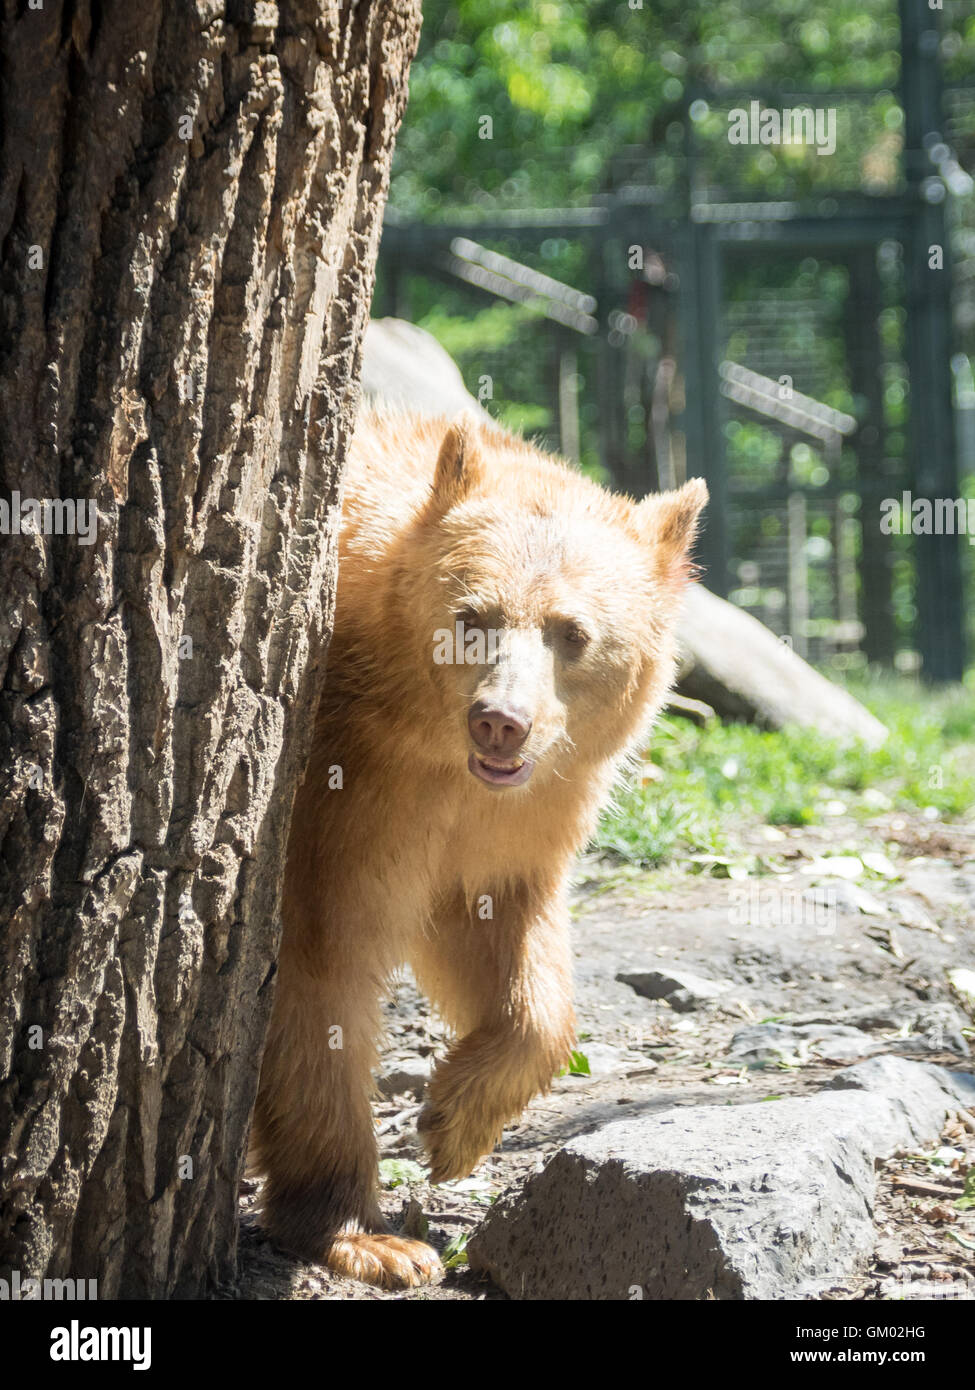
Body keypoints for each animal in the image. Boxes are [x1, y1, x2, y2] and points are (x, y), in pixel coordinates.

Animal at [250, 410, 708, 1288]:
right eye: (473, 615)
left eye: (571, 632)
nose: (501, 721)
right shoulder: (340, 792)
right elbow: (321, 965)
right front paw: (367, 1234)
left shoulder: (515, 814)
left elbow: (503, 936)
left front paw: (455, 1122)